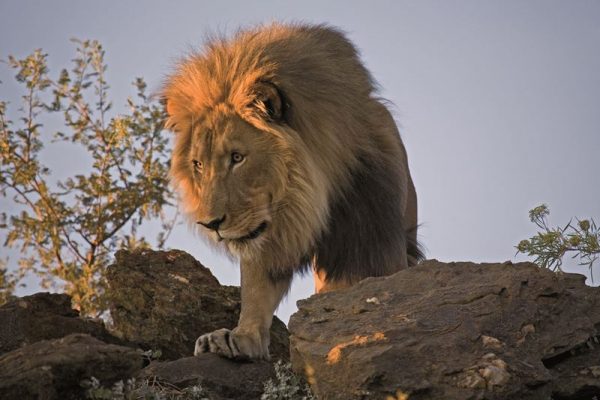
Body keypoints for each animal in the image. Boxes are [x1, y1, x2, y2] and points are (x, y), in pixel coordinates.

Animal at [162, 22, 420, 360]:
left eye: (237, 158)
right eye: (198, 165)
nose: (210, 224)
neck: (315, 199)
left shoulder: (371, 241)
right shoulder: (271, 236)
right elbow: (256, 292)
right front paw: (237, 338)